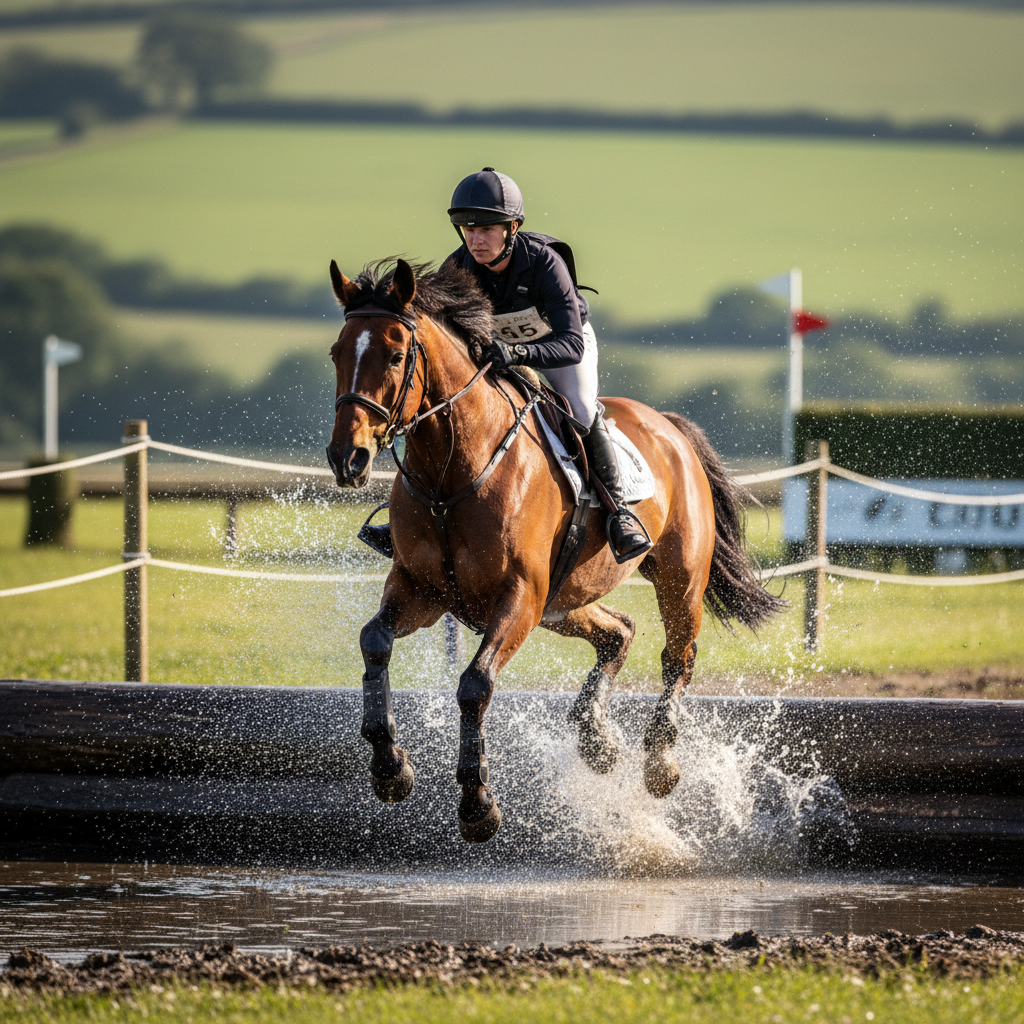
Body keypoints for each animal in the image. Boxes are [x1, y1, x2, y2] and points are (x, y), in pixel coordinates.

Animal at [325, 257, 785, 843]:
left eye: (397, 355)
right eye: (337, 352)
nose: (348, 459)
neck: (452, 468)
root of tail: (669, 427)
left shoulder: (517, 596)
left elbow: (474, 685)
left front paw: (477, 804)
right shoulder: (422, 589)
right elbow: (374, 643)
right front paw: (390, 768)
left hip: (676, 579)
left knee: (677, 656)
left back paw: (659, 763)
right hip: (563, 600)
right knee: (619, 632)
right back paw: (597, 741)